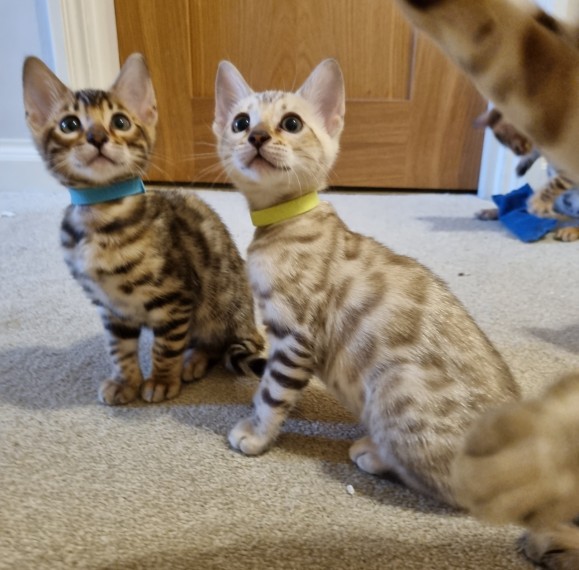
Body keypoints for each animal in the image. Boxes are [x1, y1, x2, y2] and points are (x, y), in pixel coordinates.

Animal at [23, 53, 266, 404]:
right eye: (69, 125)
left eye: (120, 122)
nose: (97, 138)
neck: (102, 216)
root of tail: (249, 324)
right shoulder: (112, 308)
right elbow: (119, 350)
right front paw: (125, 381)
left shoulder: (175, 298)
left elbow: (166, 347)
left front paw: (162, 380)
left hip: (215, 307)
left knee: (216, 345)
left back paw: (193, 361)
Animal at [214, 58, 520, 506]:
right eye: (240, 122)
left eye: (291, 123)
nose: (256, 136)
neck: (285, 222)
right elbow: (266, 384)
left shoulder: (295, 337)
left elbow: (273, 393)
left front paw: (257, 432)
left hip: (395, 386)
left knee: (453, 486)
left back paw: (374, 455)